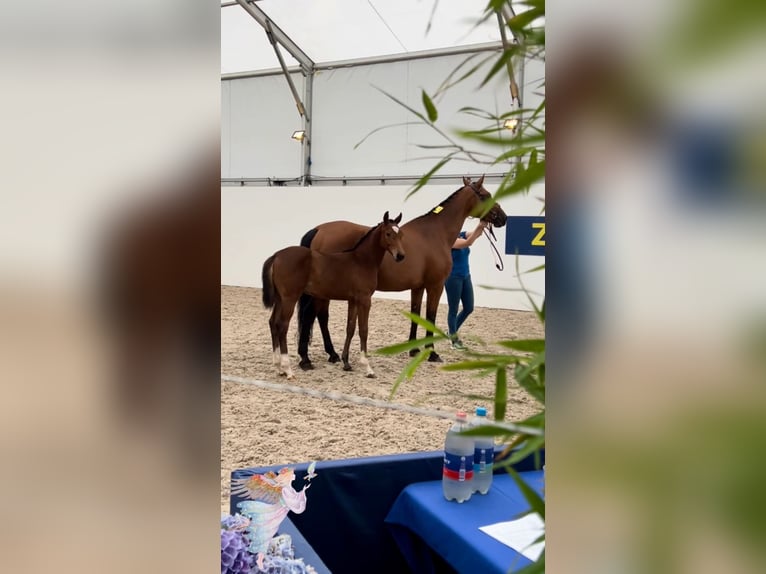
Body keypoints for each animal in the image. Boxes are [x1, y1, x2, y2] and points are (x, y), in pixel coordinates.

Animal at [264, 209, 404, 380]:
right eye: (388, 233)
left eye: (401, 234)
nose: (400, 256)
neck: (361, 261)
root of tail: (276, 255)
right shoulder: (365, 299)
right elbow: (363, 330)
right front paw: (368, 368)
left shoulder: (353, 300)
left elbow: (350, 328)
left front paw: (346, 363)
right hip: (289, 298)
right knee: (282, 325)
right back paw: (288, 369)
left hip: (280, 298)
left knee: (273, 323)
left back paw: (278, 367)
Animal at [300, 178, 510, 372]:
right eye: (486, 195)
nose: (503, 217)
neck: (435, 233)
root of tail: (319, 230)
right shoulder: (436, 285)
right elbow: (431, 316)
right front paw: (432, 353)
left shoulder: (418, 286)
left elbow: (415, 314)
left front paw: (414, 350)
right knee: (315, 315)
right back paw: (311, 358)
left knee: (319, 317)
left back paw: (329, 355)